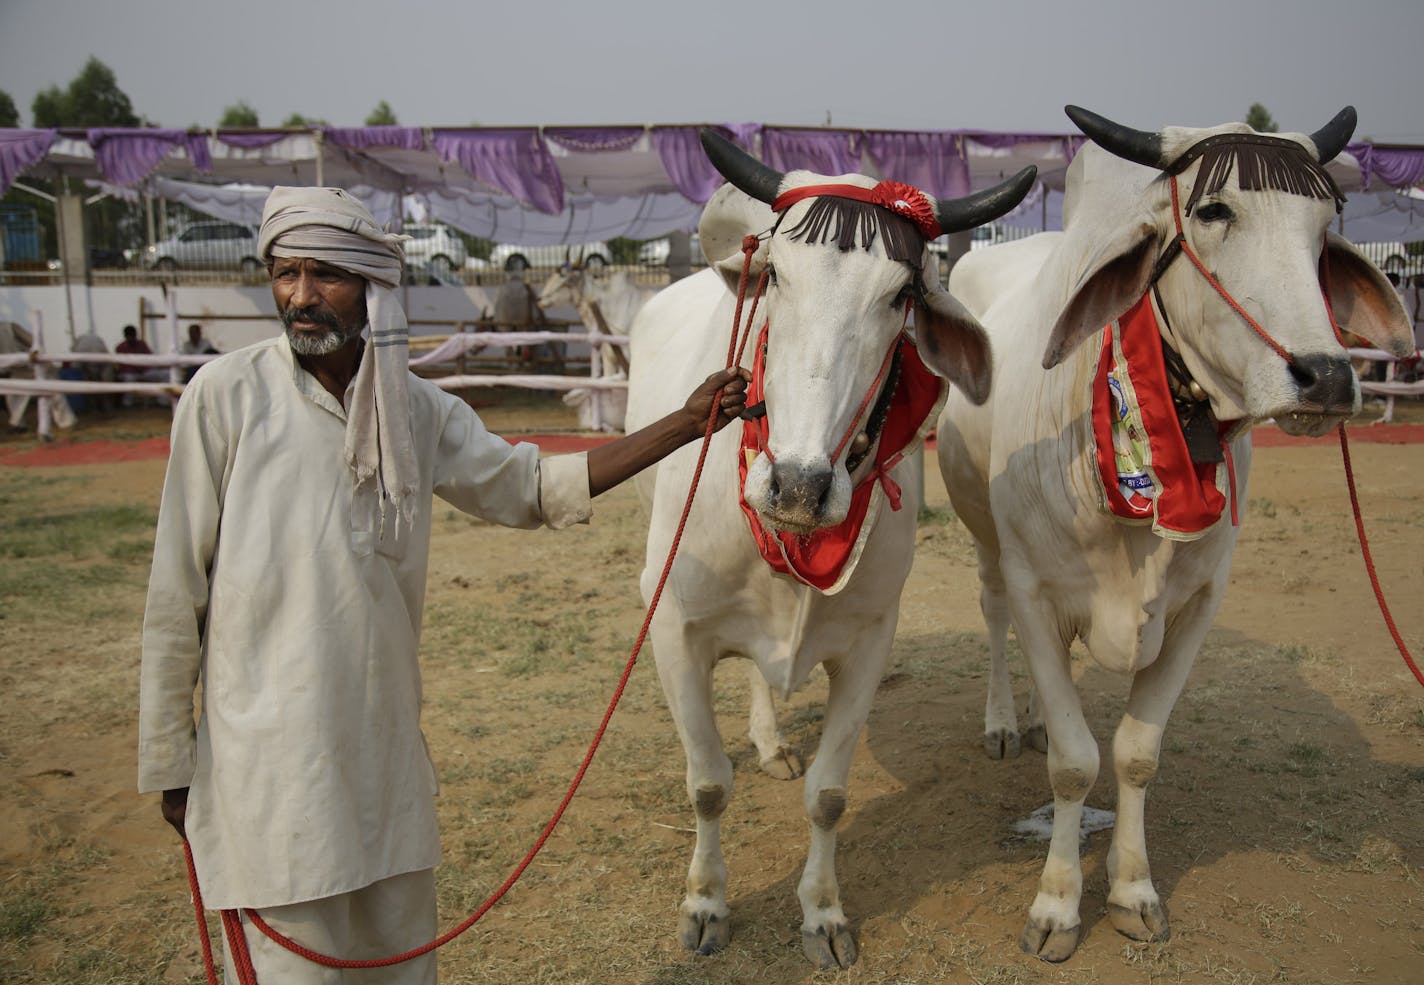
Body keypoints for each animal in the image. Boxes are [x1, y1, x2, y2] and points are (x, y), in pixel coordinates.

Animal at [629, 126, 1030, 967]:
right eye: (777, 274)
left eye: (899, 295)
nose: (798, 486)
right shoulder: (672, 627)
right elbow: (707, 782)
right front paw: (706, 903)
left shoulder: (869, 640)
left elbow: (830, 795)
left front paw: (822, 913)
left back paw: (771, 740)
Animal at [934, 107, 1412, 962]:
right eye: (1215, 210)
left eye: (1327, 225)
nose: (1327, 376)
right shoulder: (1035, 588)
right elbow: (1073, 761)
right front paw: (1057, 905)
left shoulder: (1198, 604)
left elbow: (1134, 752)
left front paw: (1132, 890)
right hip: (986, 541)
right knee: (992, 616)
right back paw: (1005, 721)